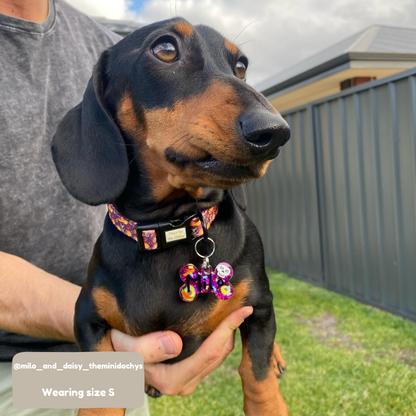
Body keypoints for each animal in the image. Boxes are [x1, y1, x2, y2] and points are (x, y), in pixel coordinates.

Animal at [52, 17, 290, 416]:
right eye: (165, 49)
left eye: (241, 66)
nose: (274, 132)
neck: (169, 228)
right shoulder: (86, 316)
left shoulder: (258, 307)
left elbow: (256, 373)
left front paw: (268, 391)